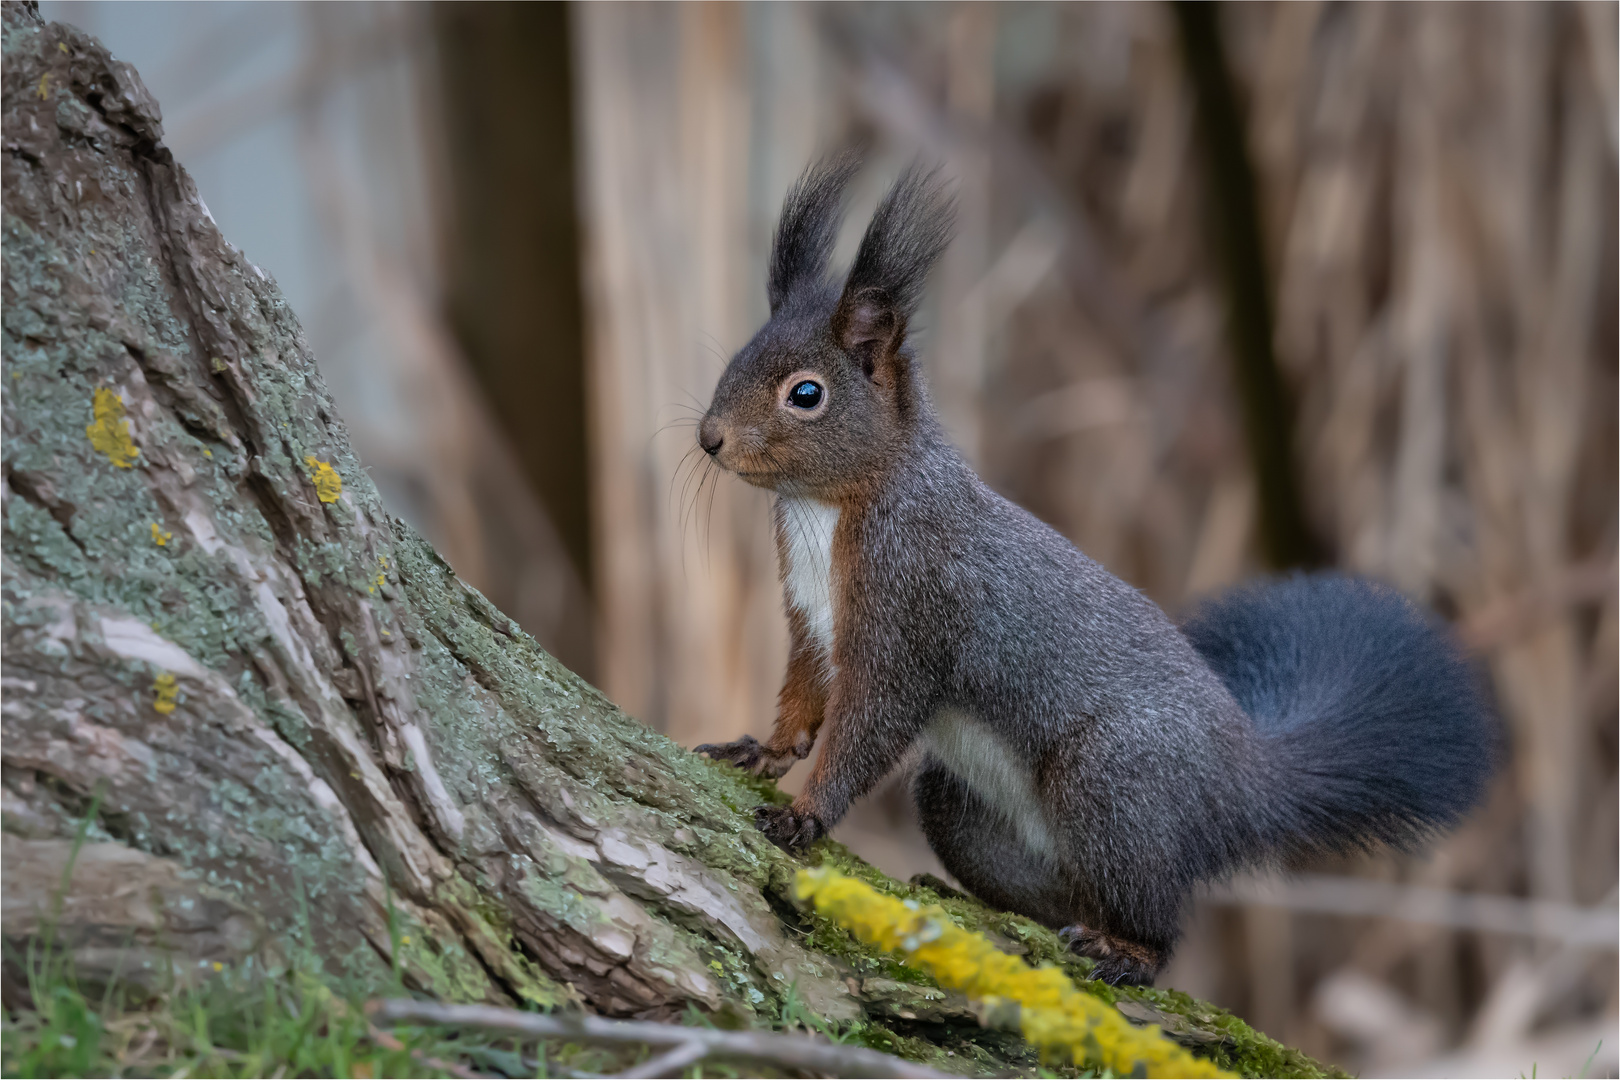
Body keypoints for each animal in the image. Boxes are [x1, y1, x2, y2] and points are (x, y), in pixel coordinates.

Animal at [690, 153, 1496, 990]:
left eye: (806, 394)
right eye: (736, 360)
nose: (710, 437)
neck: (828, 511)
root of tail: (1244, 782)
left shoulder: (912, 611)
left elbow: (867, 727)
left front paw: (805, 813)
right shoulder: (813, 621)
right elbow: (803, 698)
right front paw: (761, 750)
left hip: (1114, 780)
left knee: (1159, 920)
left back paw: (1125, 952)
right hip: (970, 808)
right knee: (1068, 887)